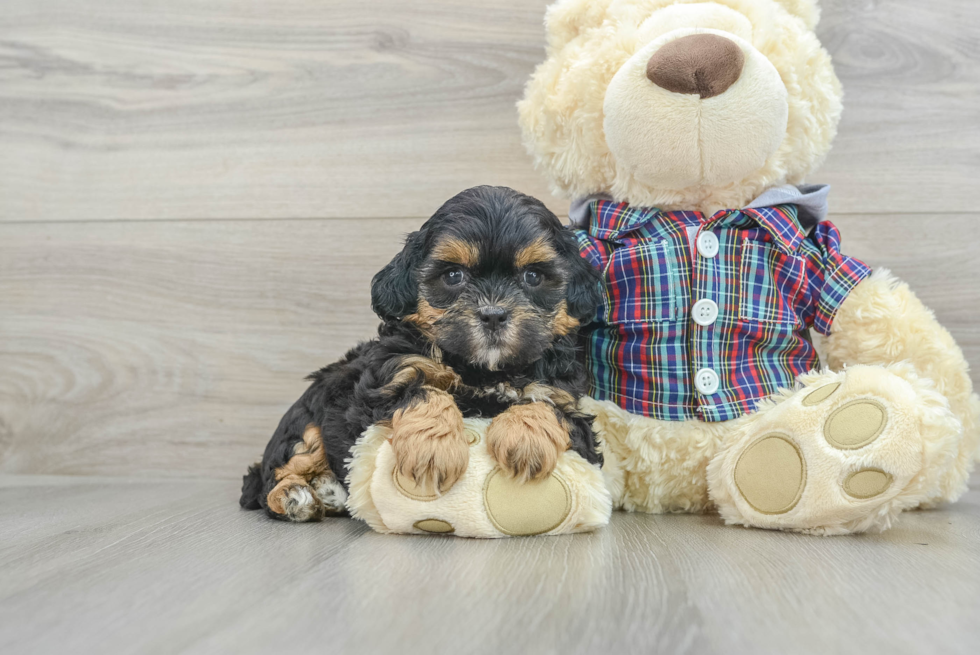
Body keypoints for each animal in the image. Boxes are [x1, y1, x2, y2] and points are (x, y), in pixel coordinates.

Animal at [239, 184, 604, 524]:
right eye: (453, 275)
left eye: (533, 276)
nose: (493, 314)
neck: (482, 369)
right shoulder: (379, 387)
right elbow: (422, 391)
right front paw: (433, 452)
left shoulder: (567, 401)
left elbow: (547, 405)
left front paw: (525, 441)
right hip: (308, 421)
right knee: (273, 472)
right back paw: (295, 496)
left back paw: (328, 492)